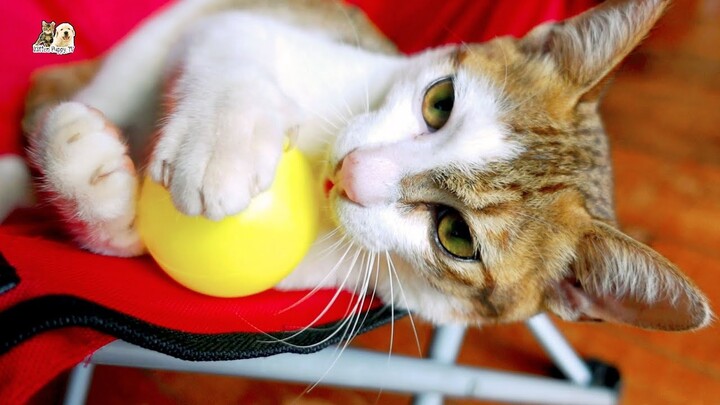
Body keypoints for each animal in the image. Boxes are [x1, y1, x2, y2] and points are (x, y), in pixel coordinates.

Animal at [19, 0, 712, 330]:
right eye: (439, 101)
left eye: (455, 235)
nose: (351, 171)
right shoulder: (254, 22)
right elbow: (233, 40)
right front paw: (222, 135)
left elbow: (136, 247)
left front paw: (96, 191)